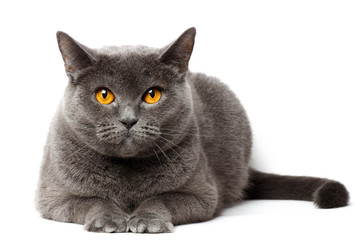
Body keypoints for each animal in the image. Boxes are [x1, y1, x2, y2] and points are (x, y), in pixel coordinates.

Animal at [35, 27, 348, 232]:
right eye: (104, 95)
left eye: (152, 95)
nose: (128, 119)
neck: (128, 175)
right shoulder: (52, 197)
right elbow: (92, 200)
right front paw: (107, 219)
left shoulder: (202, 194)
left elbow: (163, 197)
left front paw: (147, 220)